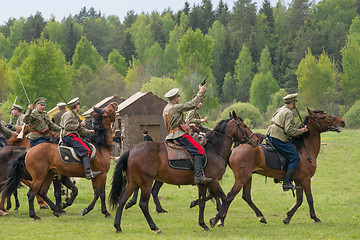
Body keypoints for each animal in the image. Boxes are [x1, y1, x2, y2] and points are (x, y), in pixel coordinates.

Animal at [108, 111, 260, 233]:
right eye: (244, 126)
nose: (256, 140)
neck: (214, 148)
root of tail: (131, 151)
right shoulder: (214, 181)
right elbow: (225, 198)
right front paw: (215, 220)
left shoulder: (203, 184)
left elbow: (203, 202)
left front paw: (203, 224)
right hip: (146, 182)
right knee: (144, 204)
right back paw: (154, 227)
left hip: (133, 182)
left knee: (122, 200)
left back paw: (118, 226)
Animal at [210, 109, 344, 227]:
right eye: (323, 117)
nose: (342, 121)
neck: (305, 148)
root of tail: (235, 148)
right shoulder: (305, 179)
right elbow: (309, 198)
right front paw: (315, 217)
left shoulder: (298, 180)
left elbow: (299, 199)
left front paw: (288, 217)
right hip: (242, 178)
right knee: (229, 196)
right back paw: (219, 220)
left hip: (247, 177)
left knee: (246, 196)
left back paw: (260, 216)